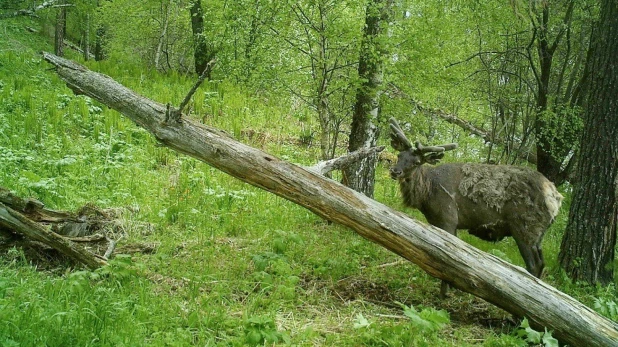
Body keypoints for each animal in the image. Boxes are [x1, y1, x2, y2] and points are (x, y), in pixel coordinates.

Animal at [388, 118, 560, 298]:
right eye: (399, 155)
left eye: (416, 162)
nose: (395, 171)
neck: (426, 193)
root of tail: (555, 198)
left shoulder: (448, 218)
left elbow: (447, 256)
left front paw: (445, 294)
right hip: (537, 234)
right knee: (541, 263)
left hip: (525, 228)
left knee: (533, 265)